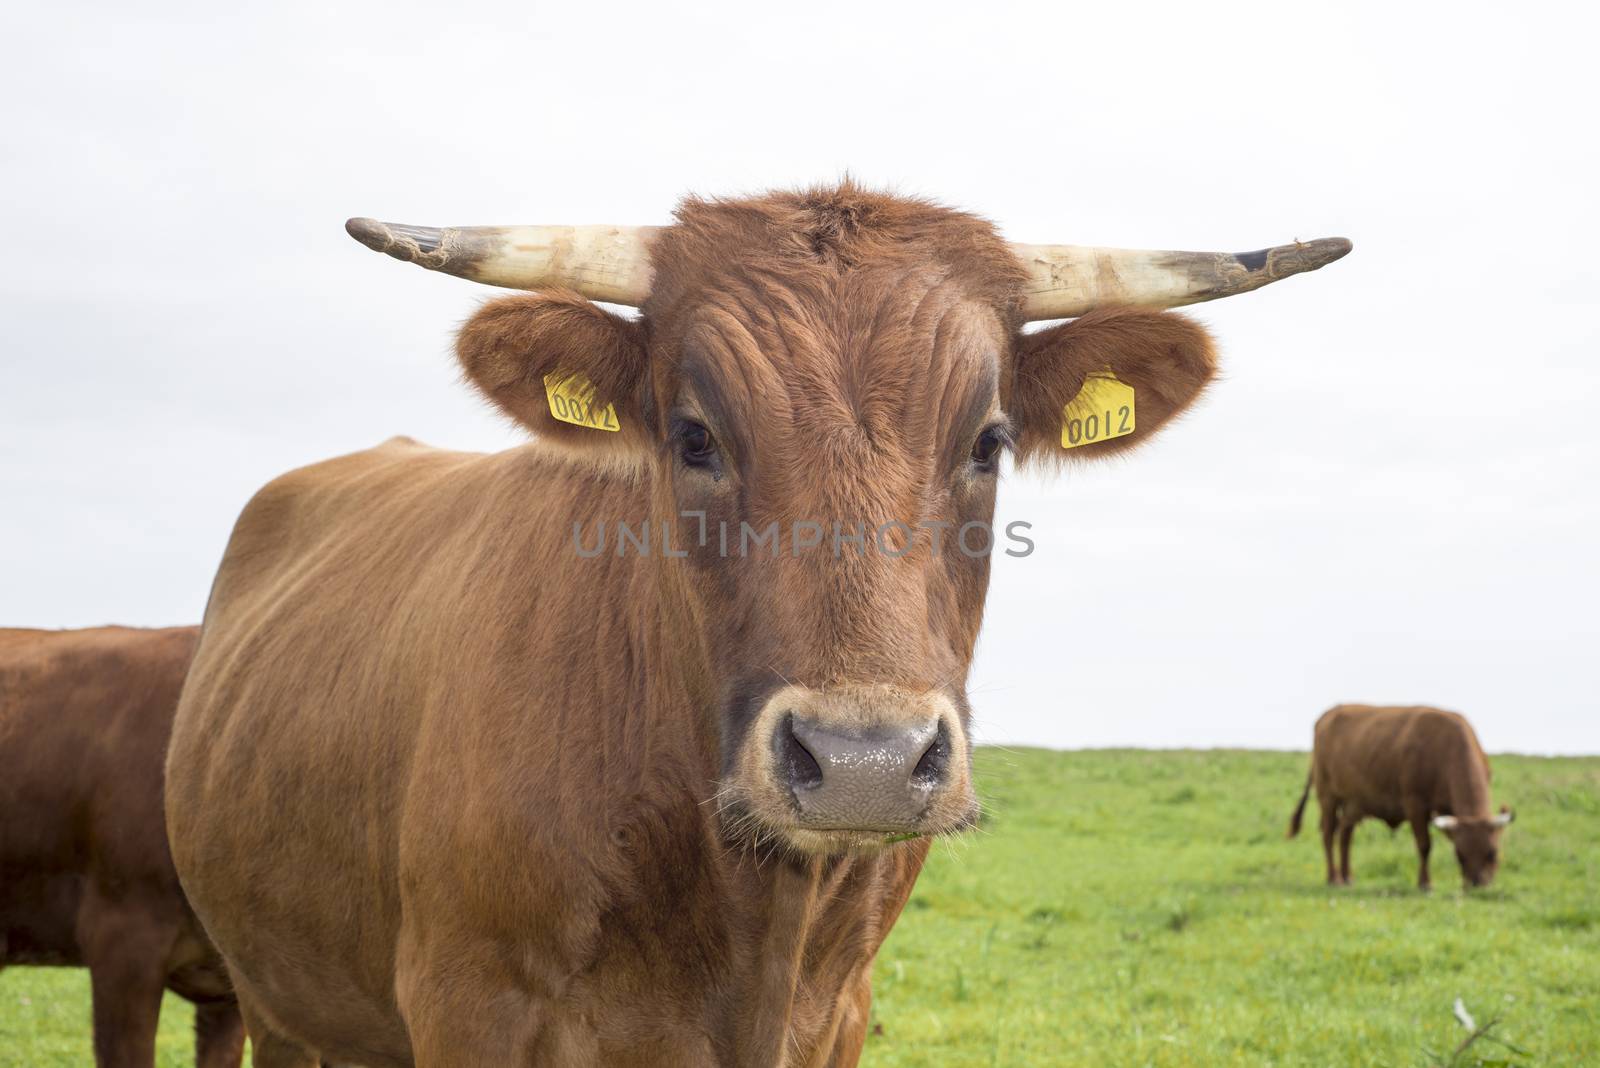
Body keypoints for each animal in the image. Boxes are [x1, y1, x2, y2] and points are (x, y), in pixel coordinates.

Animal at [165, 183, 1350, 1068]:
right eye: (694, 436)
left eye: (989, 440)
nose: (865, 763)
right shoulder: (471, 1005)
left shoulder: (841, 1015)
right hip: (280, 998)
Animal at [1286, 703, 1510, 888]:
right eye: (1460, 855)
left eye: (1492, 853)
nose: (1478, 885)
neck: (1445, 748)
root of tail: (1327, 715)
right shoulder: (1415, 805)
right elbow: (1424, 845)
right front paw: (1425, 883)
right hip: (1328, 797)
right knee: (1328, 834)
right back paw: (1333, 877)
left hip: (1352, 805)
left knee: (1345, 835)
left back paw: (1347, 876)